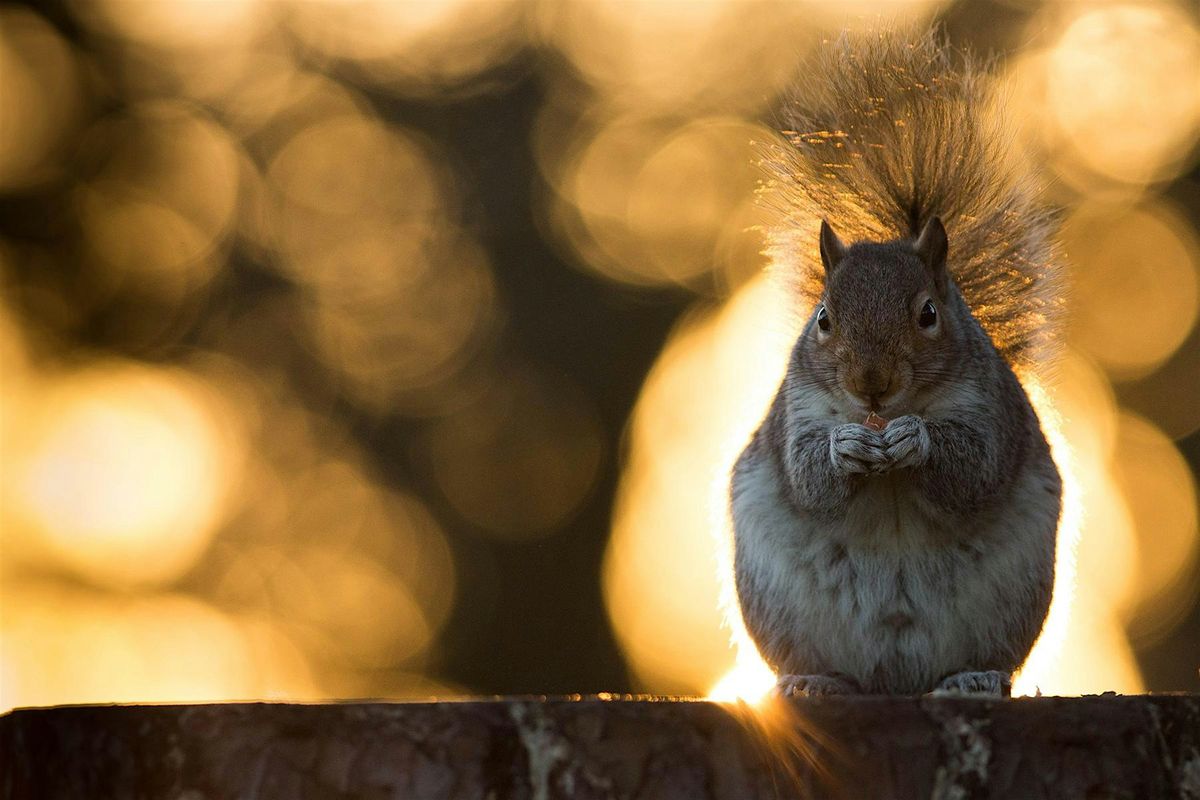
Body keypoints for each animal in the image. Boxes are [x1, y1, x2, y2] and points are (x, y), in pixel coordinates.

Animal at [729, 28, 1060, 695]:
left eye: (928, 314)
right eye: (824, 318)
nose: (870, 384)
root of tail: (895, 680)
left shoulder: (989, 411)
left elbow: (973, 471)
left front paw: (915, 440)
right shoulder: (798, 410)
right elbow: (807, 478)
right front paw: (846, 449)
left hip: (1012, 600)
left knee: (982, 659)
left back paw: (972, 679)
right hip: (777, 603)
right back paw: (814, 681)